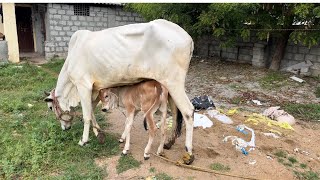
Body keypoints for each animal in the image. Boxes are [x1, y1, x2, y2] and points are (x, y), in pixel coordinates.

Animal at [45, 19, 195, 165]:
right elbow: (93, 111)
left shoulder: (83, 85)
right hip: (168, 87)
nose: (65, 128)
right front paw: (99, 133)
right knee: (175, 112)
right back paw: (169, 143)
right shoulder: (96, 89)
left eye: (51, 107)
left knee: (188, 111)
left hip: (174, 83)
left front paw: (84, 140)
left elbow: (87, 115)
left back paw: (188, 153)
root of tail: (188, 38)